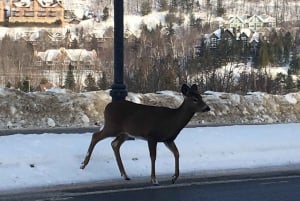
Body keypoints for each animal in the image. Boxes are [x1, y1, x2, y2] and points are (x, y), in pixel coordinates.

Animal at [81, 83, 210, 185]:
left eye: (200, 97)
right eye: (194, 99)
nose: (207, 108)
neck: (173, 121)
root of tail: (107, 107)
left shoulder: (168, 139)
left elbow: (177, 153)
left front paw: (174, 177)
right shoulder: (152, 136)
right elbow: (153, 157)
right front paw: (154, 179)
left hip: (125, 133)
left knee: (114, 144)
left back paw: (125, 175)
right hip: (112, 126)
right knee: (96, 136)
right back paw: (83, 164)